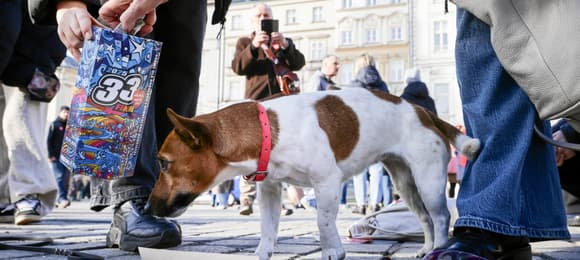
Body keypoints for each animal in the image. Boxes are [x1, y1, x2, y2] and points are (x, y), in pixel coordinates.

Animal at [145, 88, 480, 260]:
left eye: (164, 163)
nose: (147, 207)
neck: (268, 129)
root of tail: (422, 112)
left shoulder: (327, 183)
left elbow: (323, 222)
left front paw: (333, 250)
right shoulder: (270, 190)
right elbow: (268, 228)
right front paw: (263, 252)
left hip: (429, 181)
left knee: (440, 217)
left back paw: (439, 248)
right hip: (404, 182)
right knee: (424, 218)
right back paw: (425, 248)